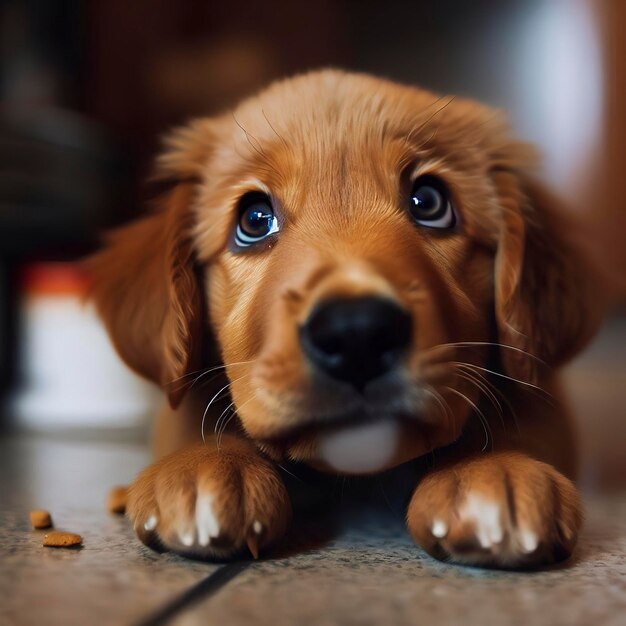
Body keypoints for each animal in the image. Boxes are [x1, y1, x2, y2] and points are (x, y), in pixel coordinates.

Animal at [86, 68, 600, 564]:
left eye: (429, 203)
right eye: (254, 220)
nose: (357, 334)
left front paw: (494, 470)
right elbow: (192, 418)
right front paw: (206, 467)